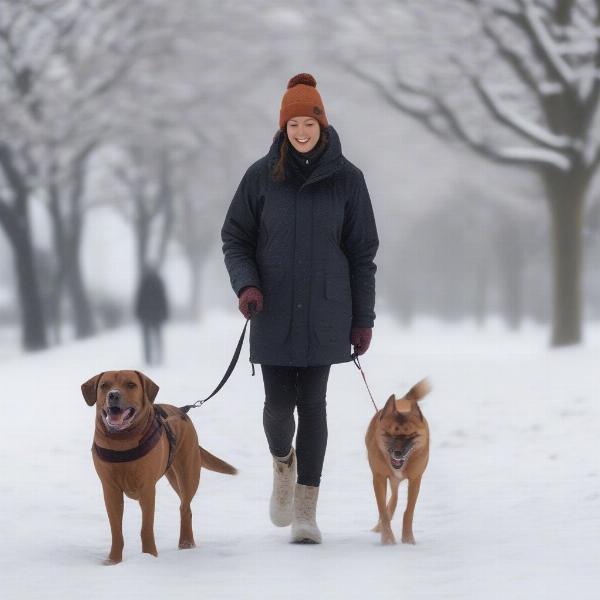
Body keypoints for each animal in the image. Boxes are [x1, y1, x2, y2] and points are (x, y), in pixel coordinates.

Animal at [82, 370, 237, 564]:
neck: (122, 441)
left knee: (185, 507)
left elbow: (146, 528)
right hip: (172, 476)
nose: (113, 395)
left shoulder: (147, 488)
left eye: (131, 384)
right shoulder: (110, 489)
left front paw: (149, 555)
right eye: (104, 385)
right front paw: (114, 561)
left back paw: (186, 543)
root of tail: (182, 412)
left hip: (188, 473)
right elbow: (116, 529)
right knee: (185, 505)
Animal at [364, 382, 428, 548]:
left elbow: (409, 511)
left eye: (411, 435)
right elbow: (382, 511)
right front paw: (387, 540)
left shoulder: (415, 479)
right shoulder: (379, 478)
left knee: (395, 497)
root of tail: (404, 399)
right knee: (393, 498)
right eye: (389, 434)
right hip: (390, 479)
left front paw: (408, 539)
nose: (398, 453)